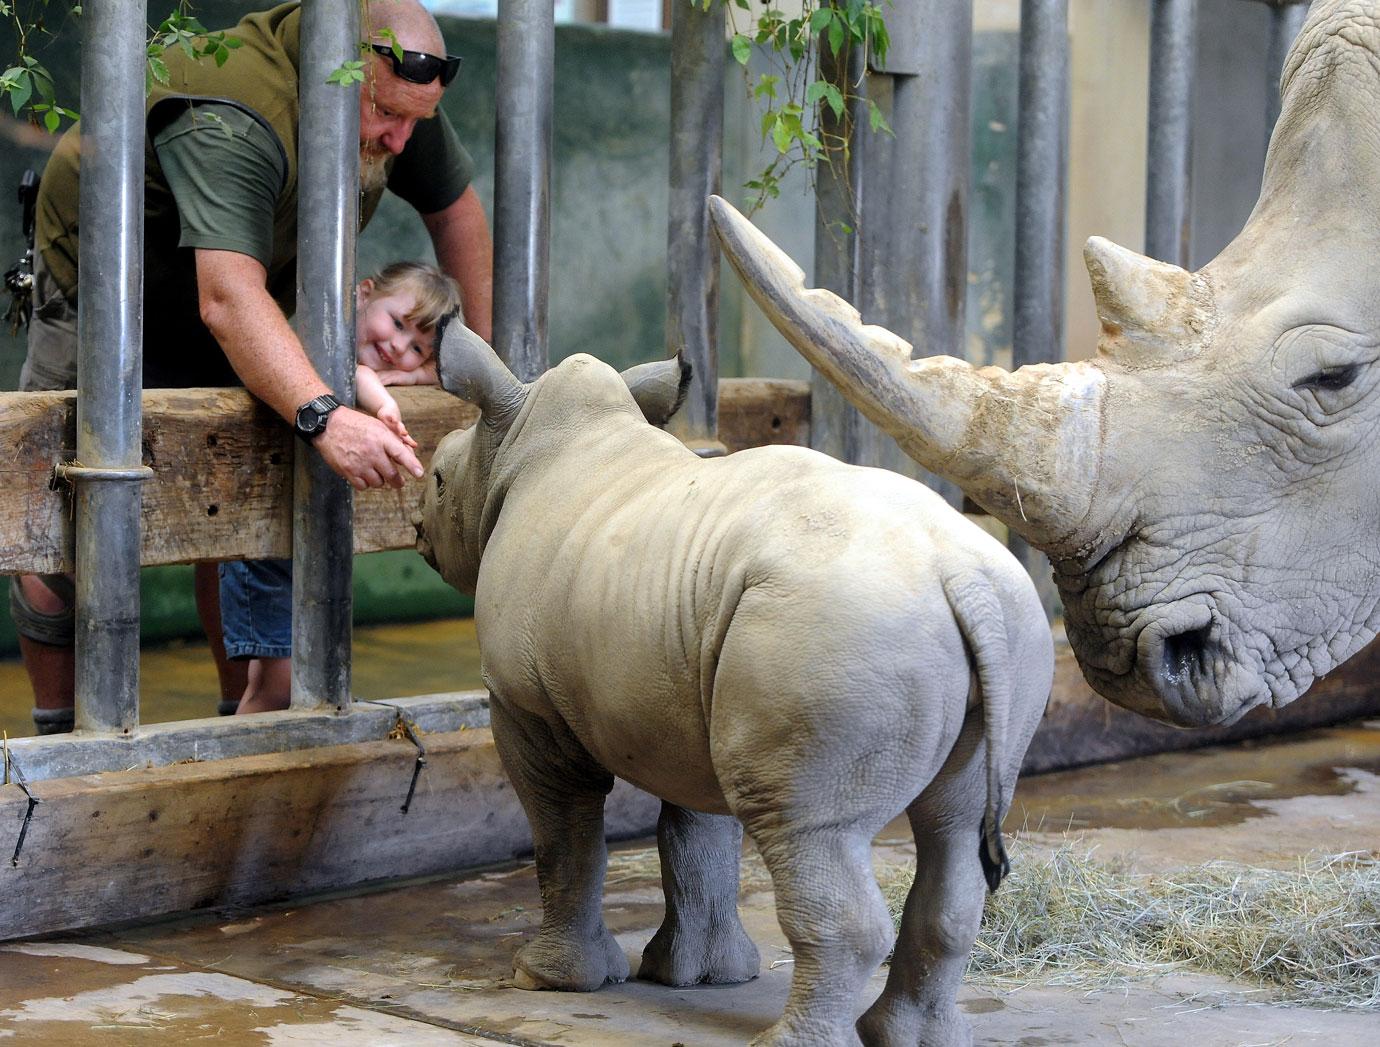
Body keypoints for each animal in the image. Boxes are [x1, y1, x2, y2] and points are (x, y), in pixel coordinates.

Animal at [414, 321, 1048, 1047]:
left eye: (437, 480)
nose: (416, 529)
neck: (516, 444)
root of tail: (958, 574)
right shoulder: (686, 677)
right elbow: (698, 836)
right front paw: (701, 976)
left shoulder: (527, 703)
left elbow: (564, 834)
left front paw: (549, 979)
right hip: (996, 628)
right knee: (953, 827)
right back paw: (912, 1037)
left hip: (836, 629)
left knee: (814, 829)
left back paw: (786, 1043)